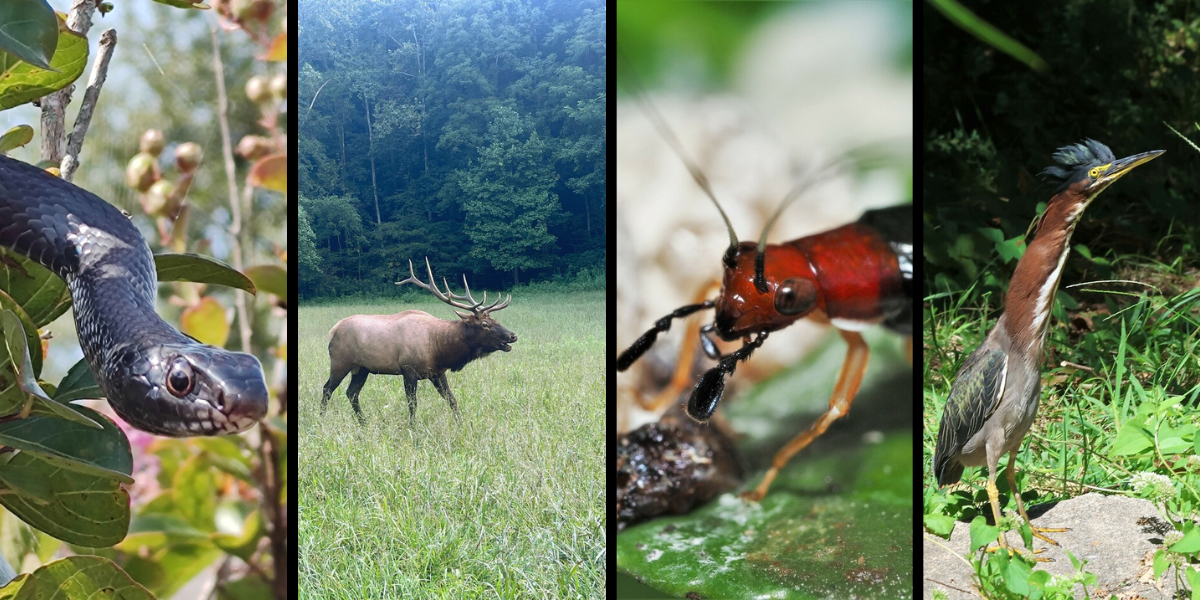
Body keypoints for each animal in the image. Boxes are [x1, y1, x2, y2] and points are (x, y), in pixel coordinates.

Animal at [321, 256, 518, 422]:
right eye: (485, 324)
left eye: (495, 320)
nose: (512, 335)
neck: (440, 349)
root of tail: (332, 331)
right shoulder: (408, 370)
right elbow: (412, 404)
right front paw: (413, 428)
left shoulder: (438, 373)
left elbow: (452, 400)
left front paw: (461, 424)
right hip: (340, 362)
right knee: (327, 388)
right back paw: (322, 420)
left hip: (362, 368)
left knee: (351, 393)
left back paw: (364, 422)